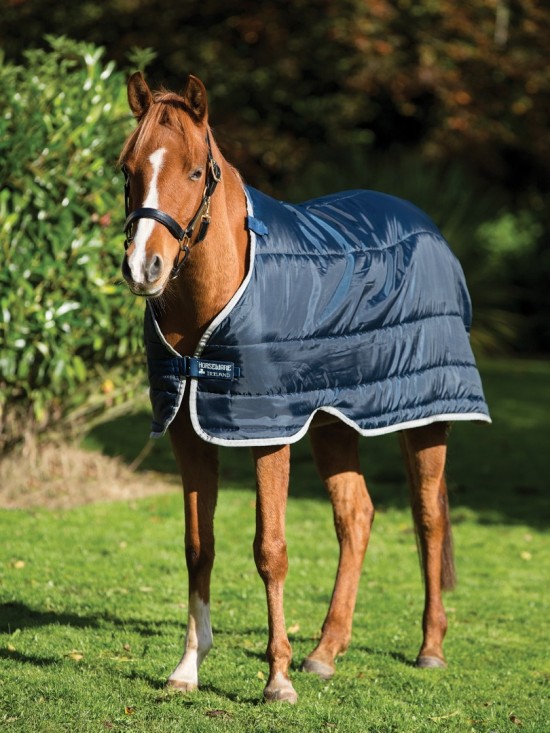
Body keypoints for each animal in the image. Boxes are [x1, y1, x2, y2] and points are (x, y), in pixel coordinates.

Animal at [119, 72, 490, 703]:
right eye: (127, 170)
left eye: (194, 172)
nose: (145, 267)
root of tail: (427, 226)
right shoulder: (189, 434)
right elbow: (199, 547)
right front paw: (187, 669)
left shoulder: (269, 434)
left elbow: (270, 550)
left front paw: (277, 680)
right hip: (333, 424)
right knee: (356, 517)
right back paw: (325, 651)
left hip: (426, 417)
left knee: (428, 519)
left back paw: (430, 648)